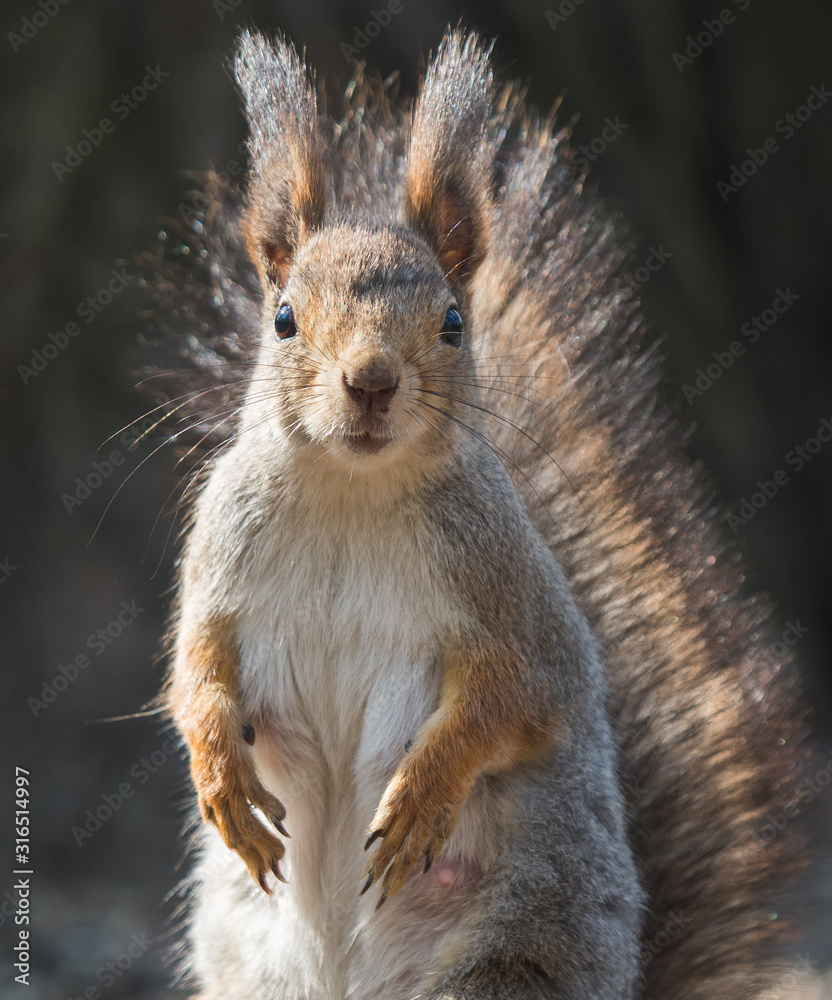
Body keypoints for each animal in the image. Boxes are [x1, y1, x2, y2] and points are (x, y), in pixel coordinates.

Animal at [145, 28, 809, 1000]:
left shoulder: (511, 606)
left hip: (513, 952)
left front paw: (422, 795)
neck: (352, 491)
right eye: (283, 318)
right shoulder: (217, 567)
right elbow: (193, 674)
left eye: (454, 322)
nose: (372, 381)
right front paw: (221, 778)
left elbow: (509, 704)